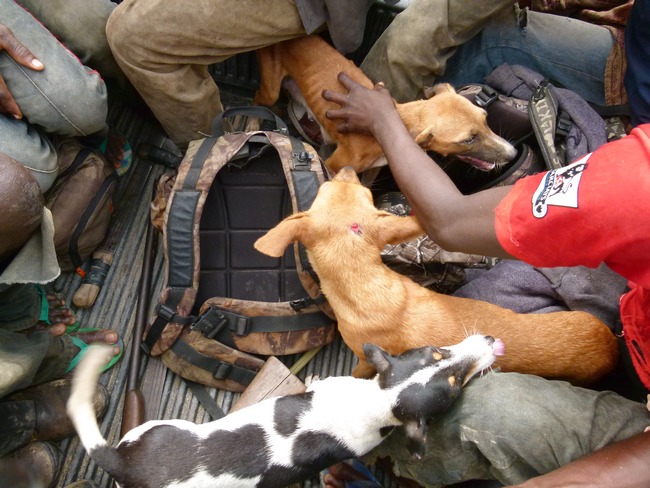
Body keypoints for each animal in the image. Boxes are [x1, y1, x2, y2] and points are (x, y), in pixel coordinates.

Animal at [67, 335, 501, 488]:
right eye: (452, 380)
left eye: (439, 355)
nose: (491, 340)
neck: (374, 400)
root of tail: (121, 464)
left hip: (153, 429)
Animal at [253, 34, 517, 174]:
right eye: (468, 139)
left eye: (485, 119)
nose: (513, 153)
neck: (394, 120)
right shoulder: (332, 165)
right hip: (269, 92)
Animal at [254, 167, 619, 383]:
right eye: (329, 186)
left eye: (366, 194)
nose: (346, 168)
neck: (366, 283)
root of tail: (612, 344)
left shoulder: (363, 359)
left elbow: (357, 374)